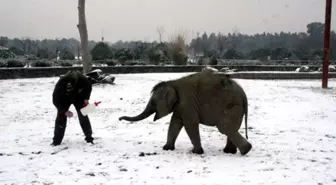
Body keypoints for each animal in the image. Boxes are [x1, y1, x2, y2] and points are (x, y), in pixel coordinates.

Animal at [119, 71, 252, 155]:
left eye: (153, 103)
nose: (119, 119)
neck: (172, 83)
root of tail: (244, 96)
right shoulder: (180, 106)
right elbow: (175, 123)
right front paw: (166, 149)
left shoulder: (187, 103)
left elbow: (190, 124)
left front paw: (196, 152)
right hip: (236, 109)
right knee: (231, 128)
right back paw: (230, 152)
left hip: (232, 107)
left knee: (224, 127)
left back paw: (245, 151)